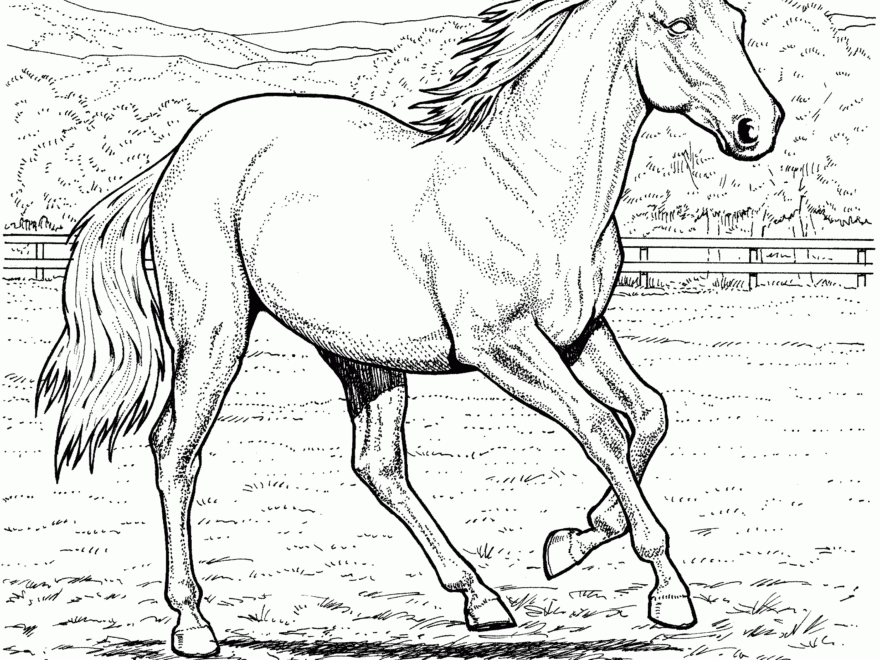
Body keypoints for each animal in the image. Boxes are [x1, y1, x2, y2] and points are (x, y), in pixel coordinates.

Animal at [38, 0, 782, 655]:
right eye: (679, 23)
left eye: (738, 19)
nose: (759, 126)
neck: (532, 189)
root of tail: (179, 155)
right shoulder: (503, 346)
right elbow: (601, 427)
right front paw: (667, 593)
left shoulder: (582, 334)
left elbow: (649, 414)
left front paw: (572, 541)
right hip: (214, 332)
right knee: (176, 451)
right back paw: (193, 625)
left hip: (362, 356)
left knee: (378, 465)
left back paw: (482, 599)